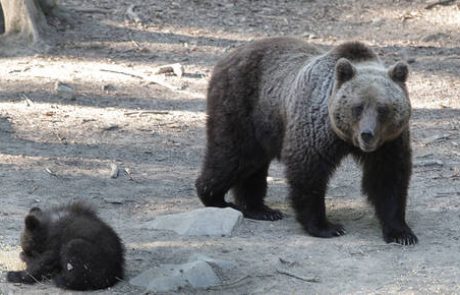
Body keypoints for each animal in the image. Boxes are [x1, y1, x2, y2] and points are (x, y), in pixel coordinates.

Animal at [196, 37, 418, 245]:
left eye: (383, 108)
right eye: (358, 107)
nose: (367, 134)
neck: (345, 138)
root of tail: (228, 57)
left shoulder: (389, 142)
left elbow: (388, 179)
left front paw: (401, 233)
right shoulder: (316, 131)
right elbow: (308, 173)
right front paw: (327, 227)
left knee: (253, 165)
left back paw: (261, 209)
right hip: (241, 106)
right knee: (233, 156)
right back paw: (216, 198)